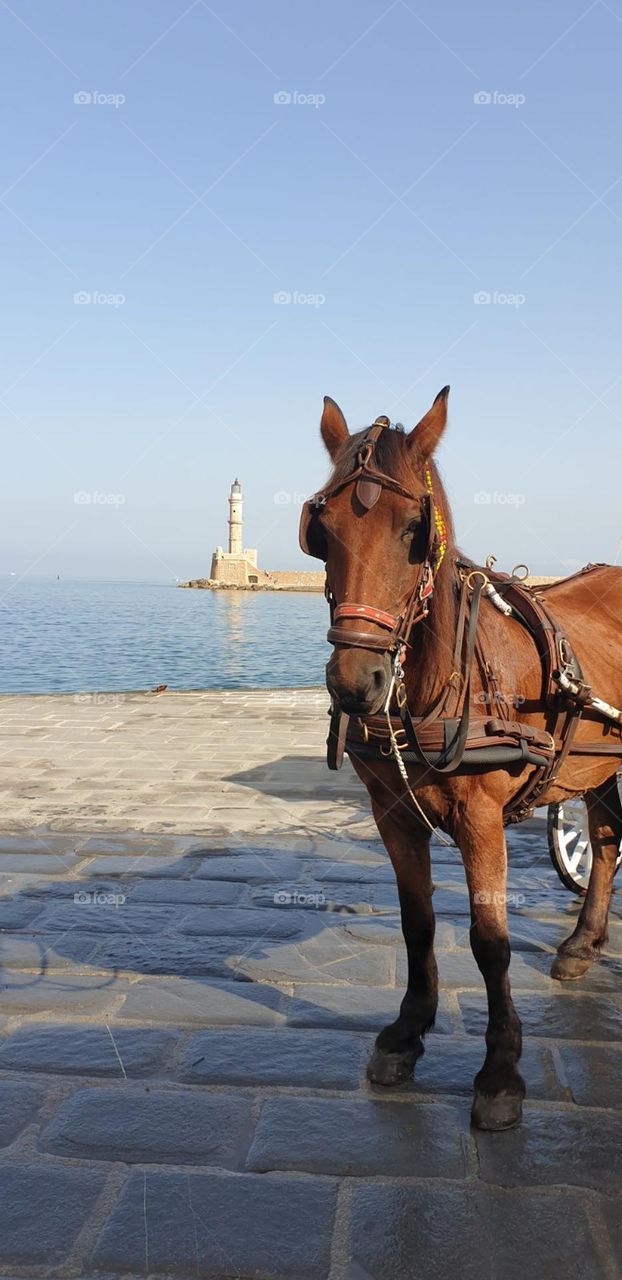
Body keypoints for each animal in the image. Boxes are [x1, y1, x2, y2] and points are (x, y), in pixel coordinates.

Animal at [300, 388, 622, 1130]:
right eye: (320, 529)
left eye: (414, 529)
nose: (354, 683)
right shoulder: (392, 811)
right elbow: (417, 922)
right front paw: (407, 1031)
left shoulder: (481, 817)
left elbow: (489, 940)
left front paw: (500, 1069)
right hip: (597, 766)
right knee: (604, 840)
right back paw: (582, 943)